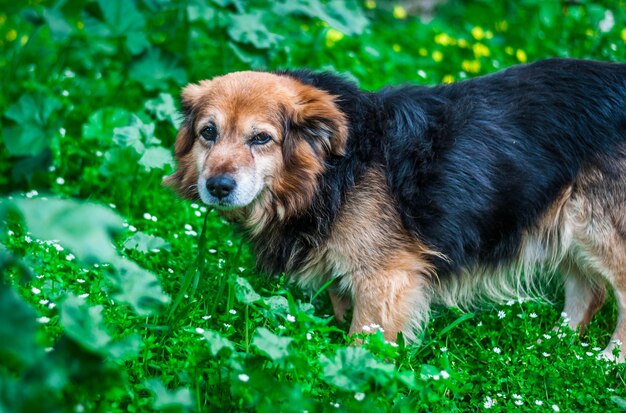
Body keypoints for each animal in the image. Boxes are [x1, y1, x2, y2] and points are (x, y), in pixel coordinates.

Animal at [166, 58, 624, 360]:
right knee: (590, 291)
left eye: (261, 138)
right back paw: (555, 347)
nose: (217, 187)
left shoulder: (385, 279)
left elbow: (363, 343)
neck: (331, 170)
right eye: (208, 132)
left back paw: (607, 363)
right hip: (565, 227)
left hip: (599, 232)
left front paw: (352, 381)